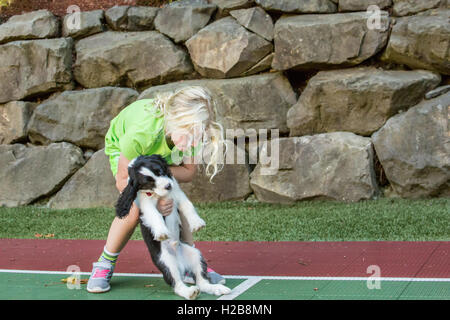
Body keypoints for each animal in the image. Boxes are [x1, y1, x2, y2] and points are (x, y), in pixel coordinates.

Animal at [116, 155, 230, 300]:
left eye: (159, 171)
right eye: (150, 182)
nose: (167, 186)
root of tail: (180, 264)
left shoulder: (177, 192)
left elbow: (188, 206)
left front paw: (196, 223)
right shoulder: (146, 204)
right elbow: (155, 215)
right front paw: (161, 232)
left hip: (195, 255)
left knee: (202, 282)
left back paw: (216, 288)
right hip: (166, 261)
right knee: (177, 284)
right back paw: (190, 292)